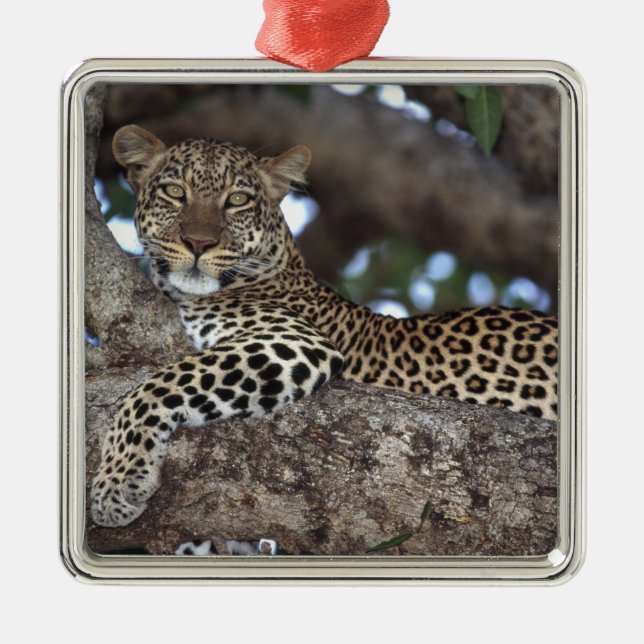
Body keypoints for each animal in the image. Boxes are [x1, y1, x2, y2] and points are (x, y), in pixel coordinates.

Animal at [90, 125, 558, 529]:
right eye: (174, 192)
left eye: (237, 200)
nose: (199, 244)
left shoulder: (293, 341)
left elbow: (156, 386)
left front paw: (116, 485)